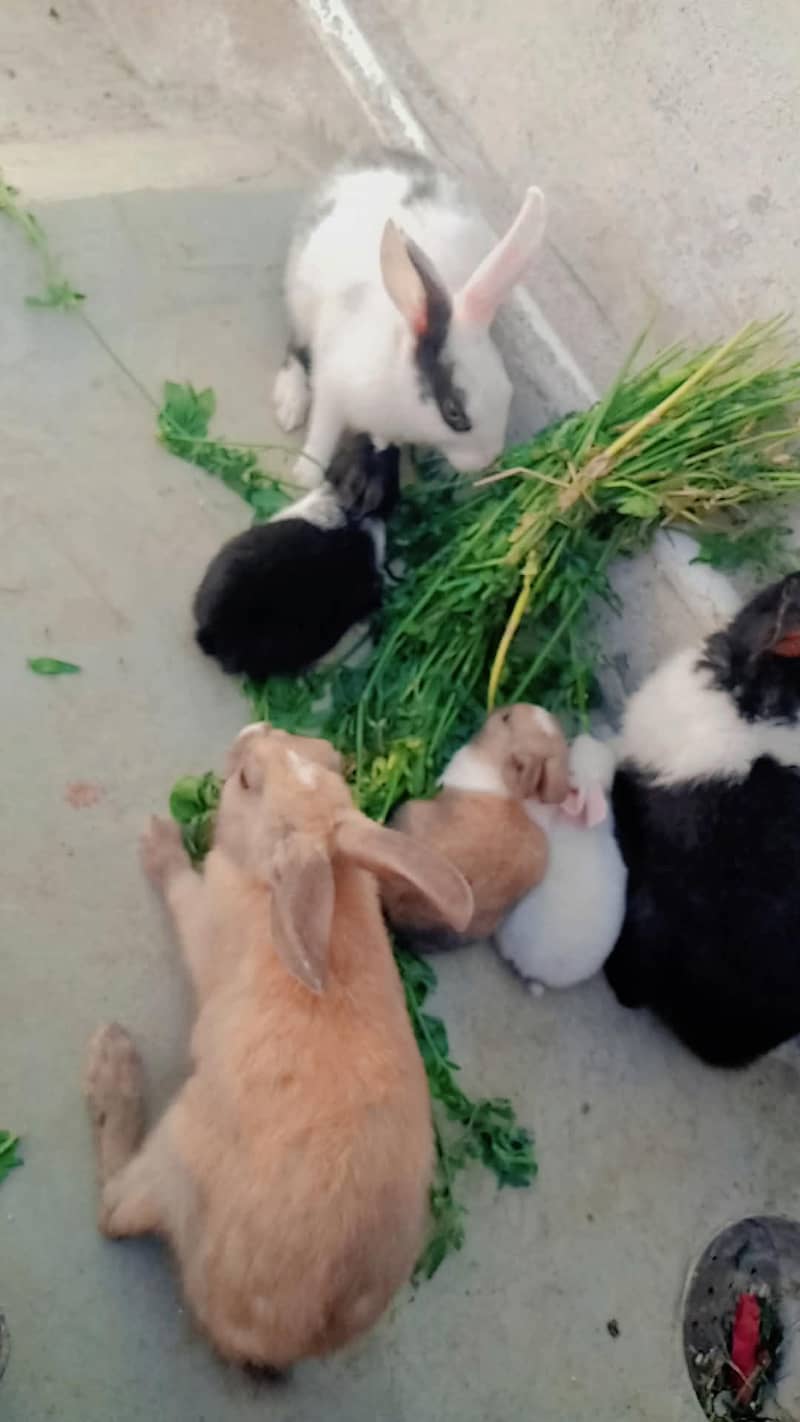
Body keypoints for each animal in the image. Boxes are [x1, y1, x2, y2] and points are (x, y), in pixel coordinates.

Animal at [83, 722, 473, 1369]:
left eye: (247, 781)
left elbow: (182, 893)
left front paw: (160, 840)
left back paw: (112, 1064)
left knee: (114, 1209)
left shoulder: (205, 924)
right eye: (328, 756)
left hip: (178, 1147)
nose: (251, 732)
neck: (268, 881)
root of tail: (281, 1341)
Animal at [273, 148, 547, 487]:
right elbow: (322, 434)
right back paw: (290, 403)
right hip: (300, 300)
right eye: (454, 413)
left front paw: (380, 445)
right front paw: (306, 477)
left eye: (509, 392)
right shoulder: (332, 389)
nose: (487, 461)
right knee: (295, 348)